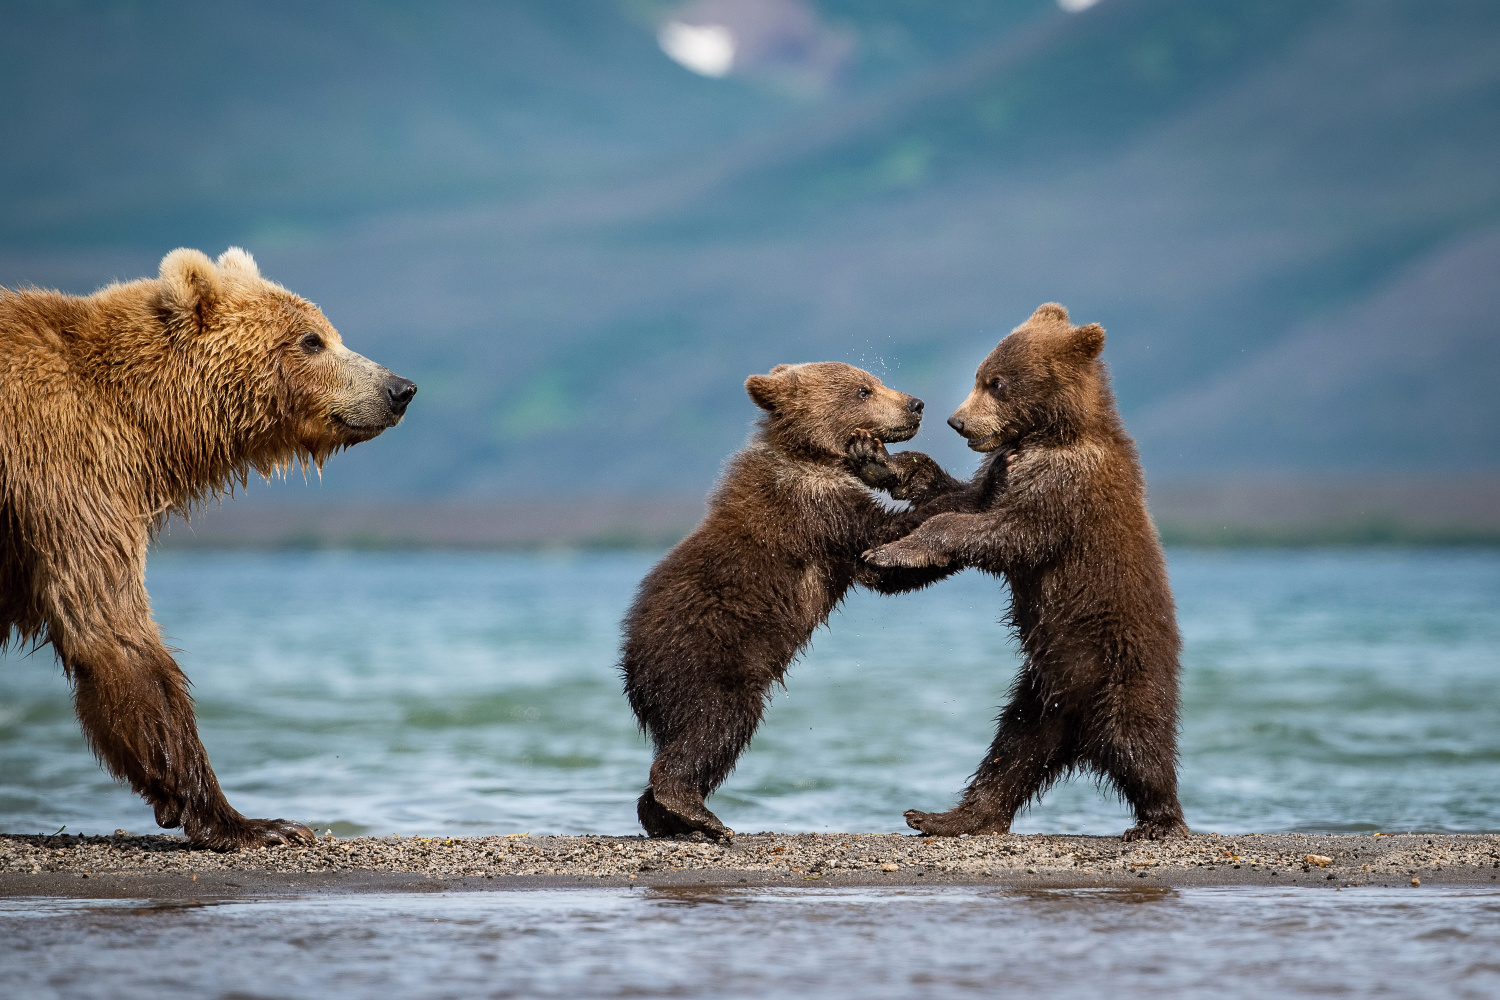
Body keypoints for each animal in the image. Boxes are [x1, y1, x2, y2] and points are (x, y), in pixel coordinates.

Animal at [0, 245, 414, 851]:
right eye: (312, 339)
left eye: (329, 332)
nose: (399, 388)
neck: (144, 418)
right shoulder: (65, 465)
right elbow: (115, 632)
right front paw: (252, 821)